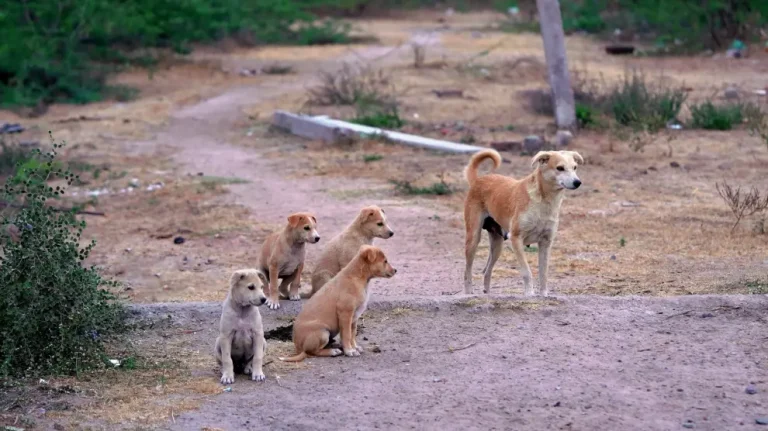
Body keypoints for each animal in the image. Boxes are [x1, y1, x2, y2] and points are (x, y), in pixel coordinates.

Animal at [462, 148, 584, 296]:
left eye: (575, 167)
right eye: (560, 168)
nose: (578, 182)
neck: (544, 201)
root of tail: (478, 180)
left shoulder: (546, 243)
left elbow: (544, 273)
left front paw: (544, 295)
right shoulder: (516, 239)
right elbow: (527, 272)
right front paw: (529, 293)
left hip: (497, 245)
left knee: (487, 271)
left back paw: (488, 293)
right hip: (473, 239)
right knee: (467, 271)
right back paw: (468, 292)